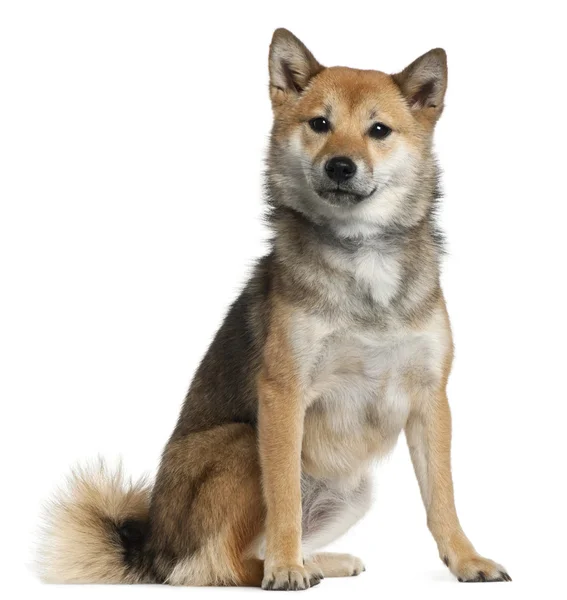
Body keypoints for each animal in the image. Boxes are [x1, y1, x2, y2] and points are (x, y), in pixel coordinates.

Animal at [37, 27, 512, 584]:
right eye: (320, 124)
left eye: (379, 130)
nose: (340, 165)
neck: (362, 257)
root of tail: (151, 549)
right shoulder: (283, 394)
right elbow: (283, 496)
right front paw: (285, 571)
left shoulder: (430, 399)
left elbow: (442, 497)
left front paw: (467, 560)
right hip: (244, 442)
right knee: (220, 565)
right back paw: (286, 568)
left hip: (352, 490)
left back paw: (322, 562)